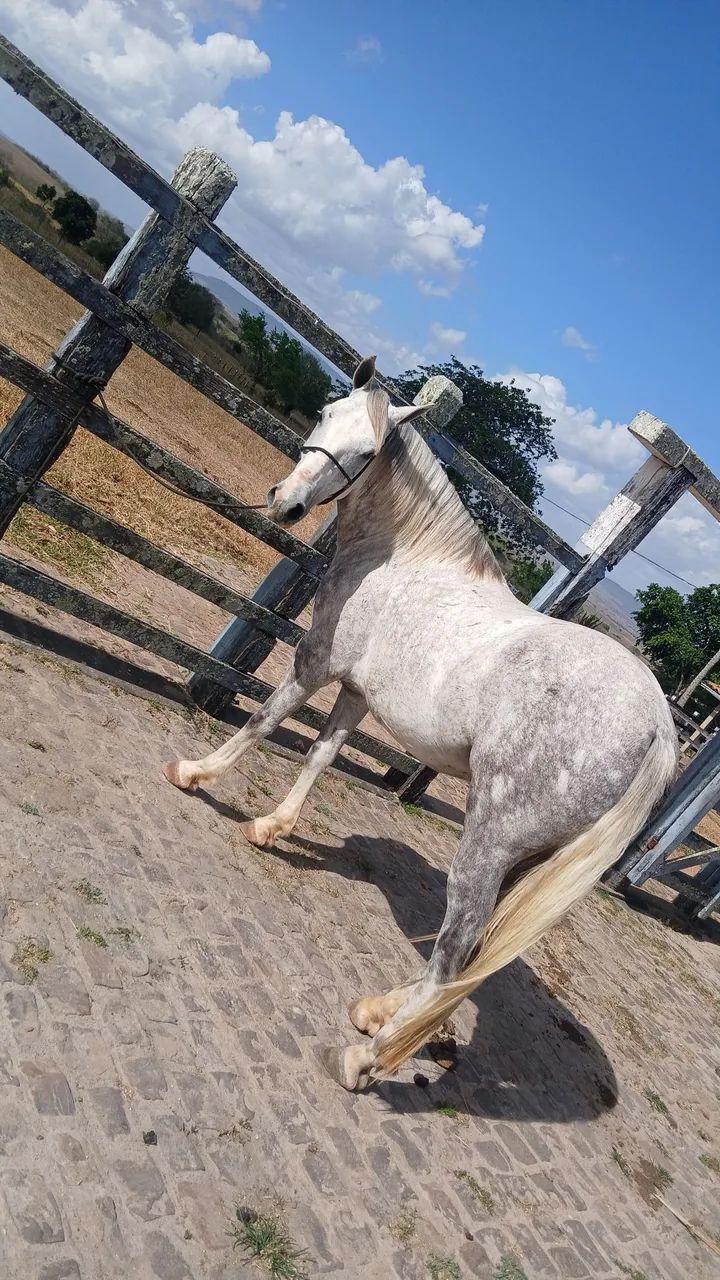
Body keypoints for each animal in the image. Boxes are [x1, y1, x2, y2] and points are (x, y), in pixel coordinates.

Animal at [163, 355, 677, 1091]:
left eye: (365, 453)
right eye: (326, 413)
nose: (285, 503)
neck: (401, 557)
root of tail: (658, 726)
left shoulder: (316, 663)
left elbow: (263, 719)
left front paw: (195, 772)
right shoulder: (356, 692)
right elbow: (320, 755)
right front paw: (271, 827)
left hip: (489, 843)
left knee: (456, 950)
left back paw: (368, 1056)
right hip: (528, 860)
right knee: (468, 954)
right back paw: (380, 1011)